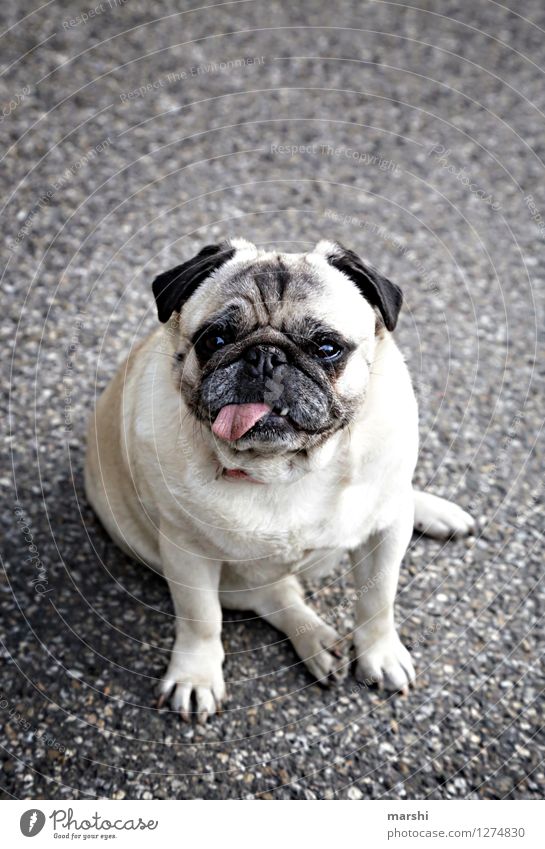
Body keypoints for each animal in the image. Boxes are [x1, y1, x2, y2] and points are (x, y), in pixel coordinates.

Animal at [84, 238, 472, 724]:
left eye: (326, 347)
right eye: (214, 340)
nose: (265, 356)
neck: (286, 469)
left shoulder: (385, 534)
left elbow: (378, 599)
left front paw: (380, 654)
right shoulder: (185, 553)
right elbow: (200, 619)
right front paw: (196, 676)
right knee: (275, 595)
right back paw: (316, 639)